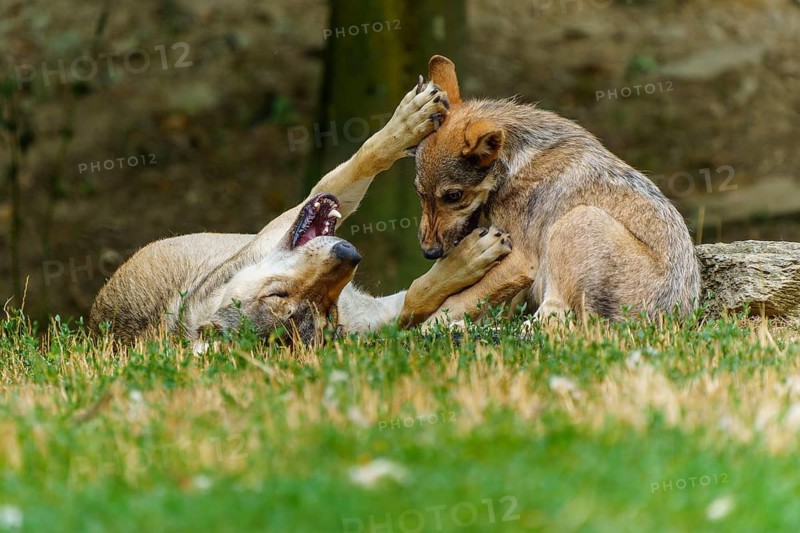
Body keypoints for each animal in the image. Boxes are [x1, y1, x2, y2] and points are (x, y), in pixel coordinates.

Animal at [90, 79, 512, 347]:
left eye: (277, 292)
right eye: (319, 316)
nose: (347, 255)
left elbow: (367, 156)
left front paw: (408, 122)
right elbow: (419, 292)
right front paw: (473, 256)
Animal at [412, 55, 700, 323]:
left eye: (454, 196)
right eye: (419, 193)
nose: (429, 253)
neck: (515, 162)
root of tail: (675, 320)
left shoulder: (521, 261)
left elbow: (458, 301)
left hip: (575, 221)